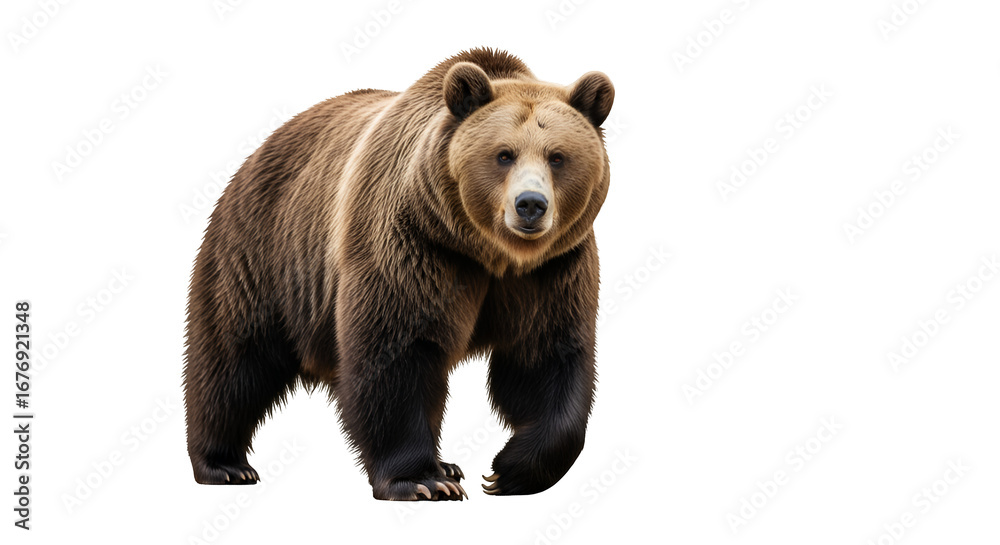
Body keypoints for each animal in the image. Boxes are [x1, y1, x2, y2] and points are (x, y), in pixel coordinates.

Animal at [183, 47, 614, 500]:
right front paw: (423, 480)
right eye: (504, 154)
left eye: (557, 156)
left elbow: (547, 355)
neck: (487, 251)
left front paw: (509, 472)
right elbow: (396, 351)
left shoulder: (552, 269)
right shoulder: (413, 241)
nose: (530, 204)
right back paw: (225, 464)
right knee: (233, 357)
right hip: (265, 252)